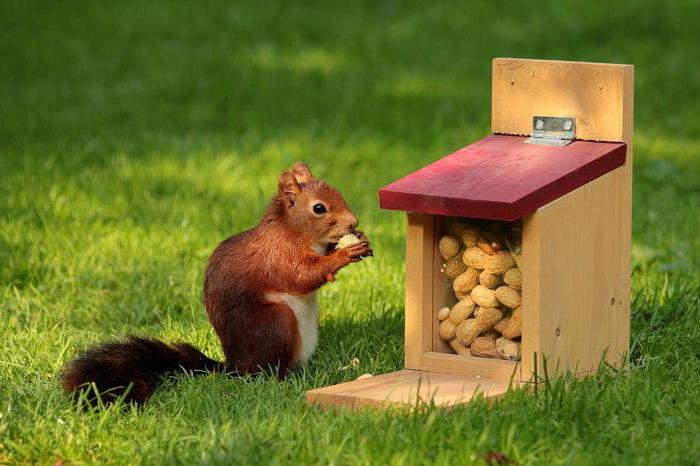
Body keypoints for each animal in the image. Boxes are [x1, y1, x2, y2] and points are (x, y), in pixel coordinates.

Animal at [61, 163, 372, 404]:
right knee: (265, 372)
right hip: (276, 323)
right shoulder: (278, 255)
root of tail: (233, 366)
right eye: (319, 208)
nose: (354, 222)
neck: (292, 230)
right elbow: (302, 276)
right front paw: (344, 254)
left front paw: (356, 242)